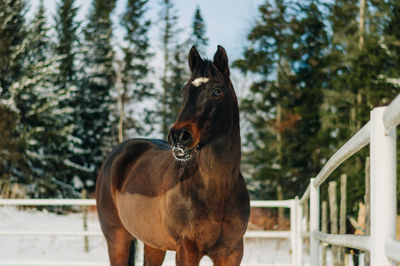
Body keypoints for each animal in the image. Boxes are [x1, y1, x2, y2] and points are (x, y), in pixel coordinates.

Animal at [95, 46, 248, 266]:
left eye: (217, 91)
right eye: (184, 91)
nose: (179, 136)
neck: (219, 191)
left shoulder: (232, 253)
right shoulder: (187, 250)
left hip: (154, 244)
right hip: (117, 240)